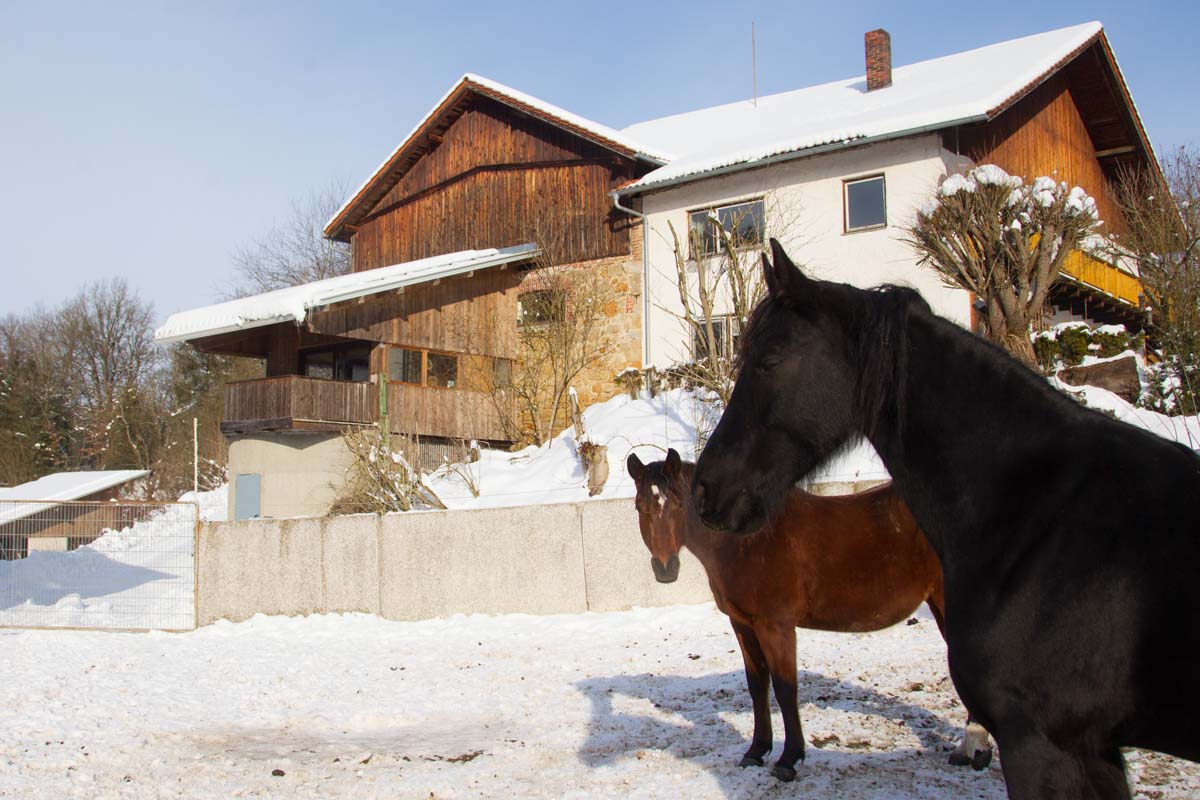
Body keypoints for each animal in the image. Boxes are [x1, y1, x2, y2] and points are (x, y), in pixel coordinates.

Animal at [627, 449, 992, 781]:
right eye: (641, 507)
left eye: (677, 506)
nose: (666, 569)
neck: (749, 541)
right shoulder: (743, 625)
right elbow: (757, 685)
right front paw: (756, 752)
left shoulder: (776, 627)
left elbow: (786, 689)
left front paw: (789, 759)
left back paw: (974, 750)